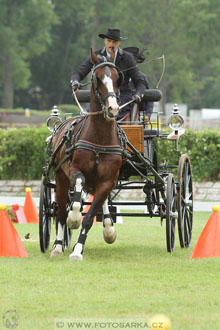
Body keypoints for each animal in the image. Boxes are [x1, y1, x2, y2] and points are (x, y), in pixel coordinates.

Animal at [50, 49, 124, 260]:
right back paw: (58, 245)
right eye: (97, 78)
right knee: (60, 211)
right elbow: (76, 196)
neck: (100, 139)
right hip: (61, 179)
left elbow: (90, 217)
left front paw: (77, 250)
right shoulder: (75, 170)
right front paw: (73, 219)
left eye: (117, 77)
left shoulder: (107, 180)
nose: (113, 109)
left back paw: (107, 228)